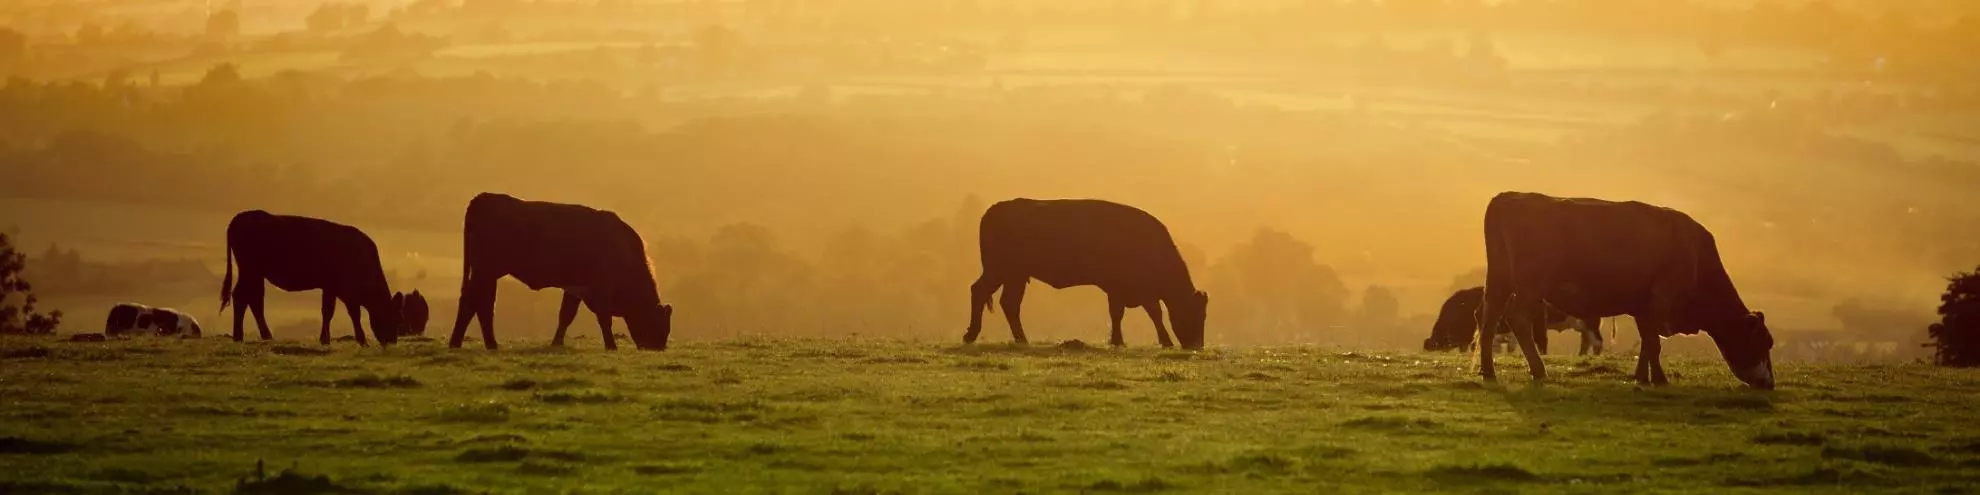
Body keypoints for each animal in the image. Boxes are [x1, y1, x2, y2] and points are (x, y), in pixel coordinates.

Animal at [220, 210, 404, 346]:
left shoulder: (333, 288)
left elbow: (333, 312)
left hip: (255, 273)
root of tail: (240, 217)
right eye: (391, 316)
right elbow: (343, 312)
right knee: (242, 296)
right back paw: (240, 336)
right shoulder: (340, 289)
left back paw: (263, 336)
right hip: (249, 269)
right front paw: (358, 340)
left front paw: (327, 339)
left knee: (253, 299)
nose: (391, 341)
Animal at [447, 193, 673, 351]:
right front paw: (611, 346)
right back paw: (466, 343)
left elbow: (566, 315)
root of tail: (484, 197)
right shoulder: (601, 289)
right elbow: (604, 318)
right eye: (658, 324)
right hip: (485, 270)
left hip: (487, 273)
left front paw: (557, 342)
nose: (657, 348)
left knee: (480, 303)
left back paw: (479, 343)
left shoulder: (575, 289)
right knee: (475, 302)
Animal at [965, 198, 1209, 350]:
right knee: (981, 292)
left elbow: (1121, 314)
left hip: (1014, 276)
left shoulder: (1123, 291)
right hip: (1000, 271)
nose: (1197, 346)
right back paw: (972, 335)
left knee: (1008, 303)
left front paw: (1117, 341)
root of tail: (995, 209)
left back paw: (1020, 339)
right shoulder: (1129, 289)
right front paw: (1164, 341)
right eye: (1195, 313)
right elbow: (1151, 313)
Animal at [1477, 192, 1773, 388]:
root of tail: (1510, 196)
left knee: (1488, 318)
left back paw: (1488, 370)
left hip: (1500, 279)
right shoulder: (1660, 299)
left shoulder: (1643, 305)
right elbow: (1653, 343)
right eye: (1763, 342)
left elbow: (1647, 341)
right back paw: (1538, 370)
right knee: (1517, 318)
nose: (1769, 383)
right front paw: (1660, 379)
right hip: (1530, 283)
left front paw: (1643, 377)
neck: (1696, 259)